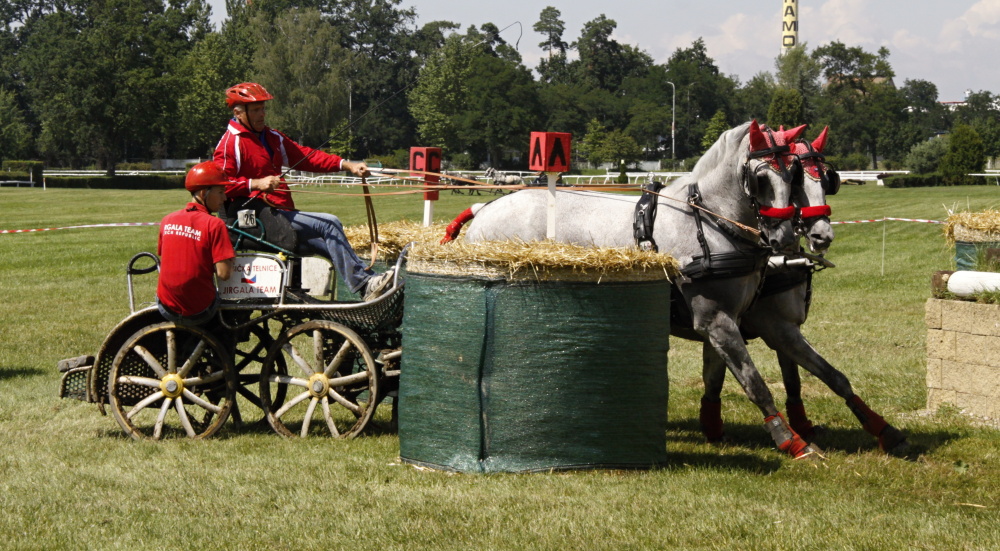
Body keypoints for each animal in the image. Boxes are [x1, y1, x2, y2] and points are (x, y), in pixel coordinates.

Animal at [450, 122, 824, 462]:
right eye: (761, 178)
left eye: (793, 175)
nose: (786, 234)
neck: (711, 222)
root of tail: (485, 210)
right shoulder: (716, 319)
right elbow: (754, 381)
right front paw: (792, 441)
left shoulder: (730, 318)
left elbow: (726, 376)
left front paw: (718, 427)